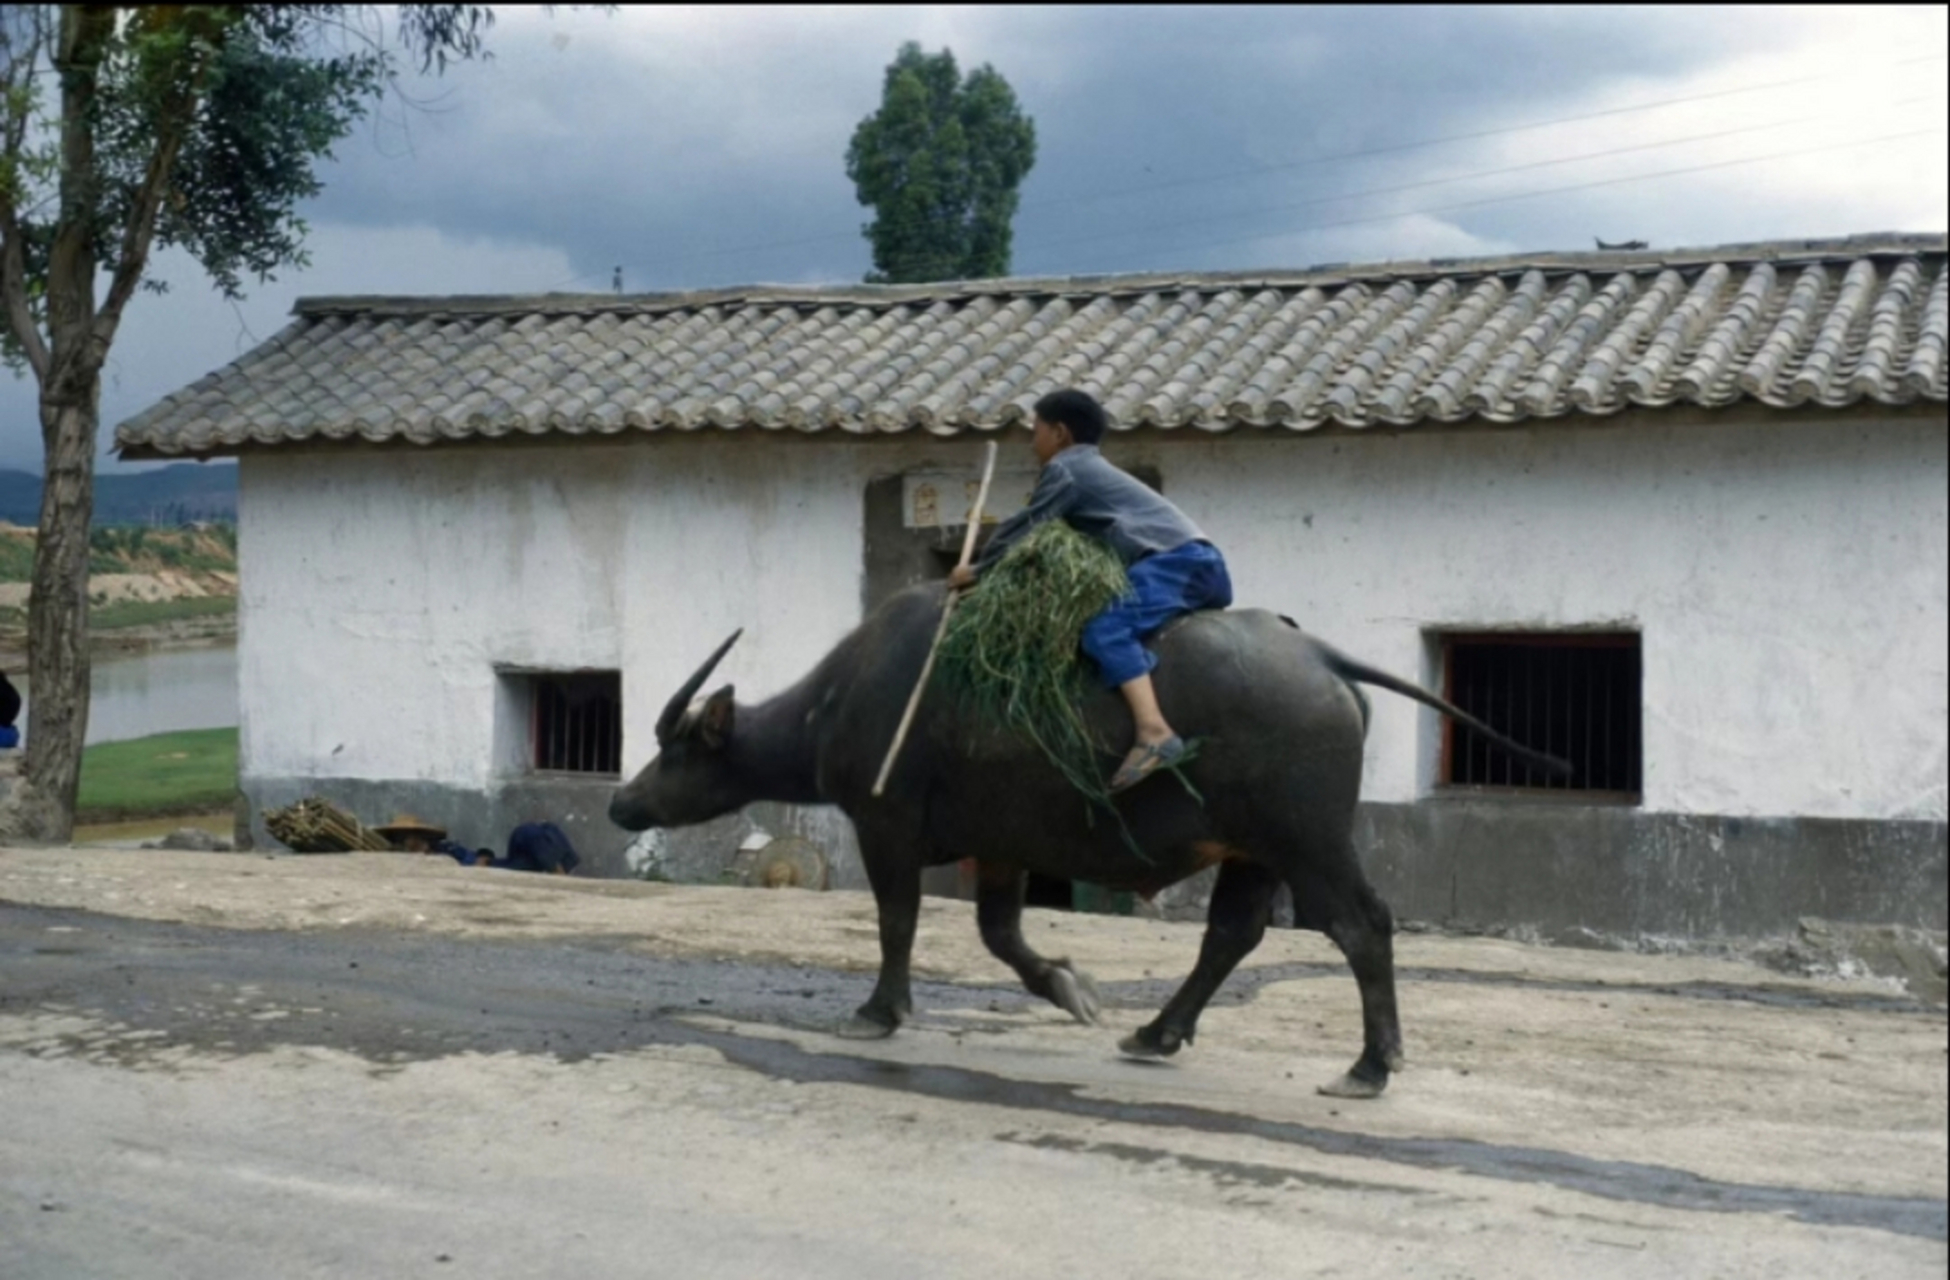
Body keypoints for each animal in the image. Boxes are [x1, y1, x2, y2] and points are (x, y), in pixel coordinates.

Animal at [612, 585, 1567, 1092]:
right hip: (1252, 852)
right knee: (1233, 935)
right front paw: (1073, 989)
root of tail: (1323, 660)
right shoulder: (999, 845)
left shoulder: (885, 825)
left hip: (1309, 840)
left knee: (1362, 925)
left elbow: (897, 922)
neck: (840, 703)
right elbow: (1001, 935)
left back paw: (1370, 1064)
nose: (623, 804)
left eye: (674, 748)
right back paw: (1153, 1033)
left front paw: (878, 1013)